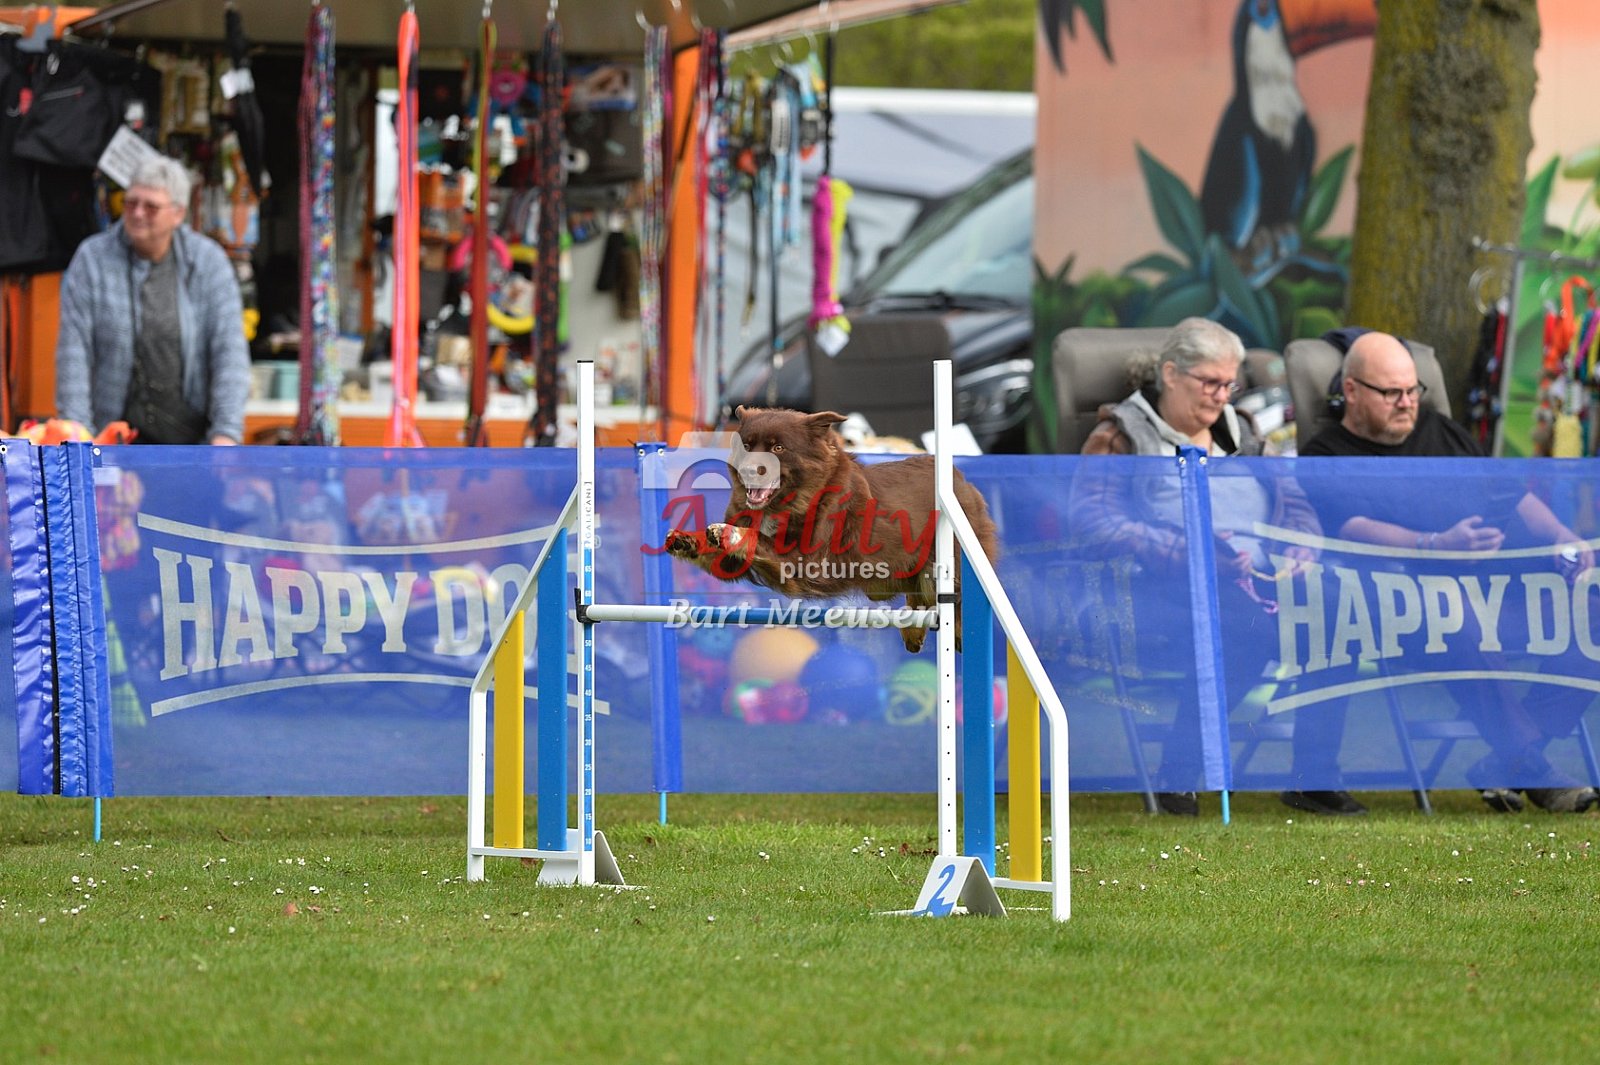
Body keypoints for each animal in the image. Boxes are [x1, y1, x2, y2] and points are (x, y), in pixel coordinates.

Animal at [663, 406, 999, 653]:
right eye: (746, 446)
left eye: (778, 447)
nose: (748, 470)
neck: (789, 501)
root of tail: (961, 479)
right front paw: (687, 540)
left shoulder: (808, 560)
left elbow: (759, 540)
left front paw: (727, 532)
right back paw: (913, 631)